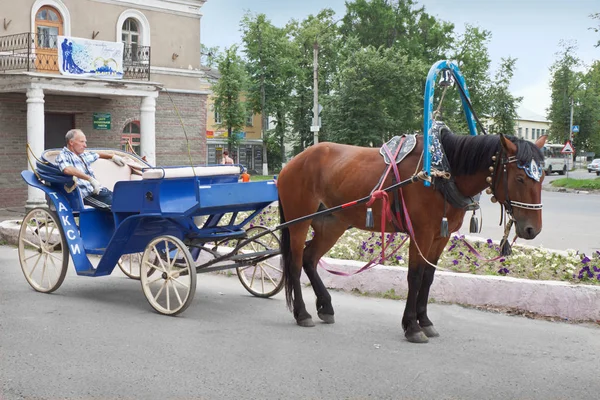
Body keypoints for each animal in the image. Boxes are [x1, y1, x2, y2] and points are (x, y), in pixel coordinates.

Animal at [278, 129, 548, 344]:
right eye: (519, 178)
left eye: (542, 177)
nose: (532, 230)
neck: (441, 174)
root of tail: (292, 162)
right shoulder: (422, 233)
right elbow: (415, 277)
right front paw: (412, 326)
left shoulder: (441, 236)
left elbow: (428, 278)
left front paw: (425, 321)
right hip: (299, 222)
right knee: (294, 263)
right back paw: (302, 313)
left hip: (332, 224)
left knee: (310, 259)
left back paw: (325, 305)